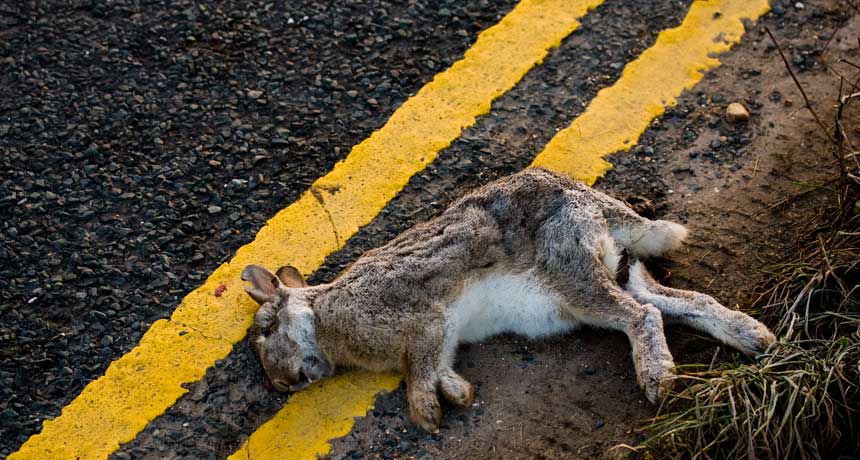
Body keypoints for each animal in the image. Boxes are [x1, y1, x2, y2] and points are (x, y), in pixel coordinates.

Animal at [241, 168, 776, 432]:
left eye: (266, 330)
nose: (284, 385)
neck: (320, 314)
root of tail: (588, 203)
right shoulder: (441, 335)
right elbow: (437, 366)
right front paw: (458, 394)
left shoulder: (424, 321)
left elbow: (419, 369)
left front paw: (427, 415)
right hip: (620, 272)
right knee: (683, 301)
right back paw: (755, 338)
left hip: (573, 277)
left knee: (641, 316)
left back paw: (658, 379)